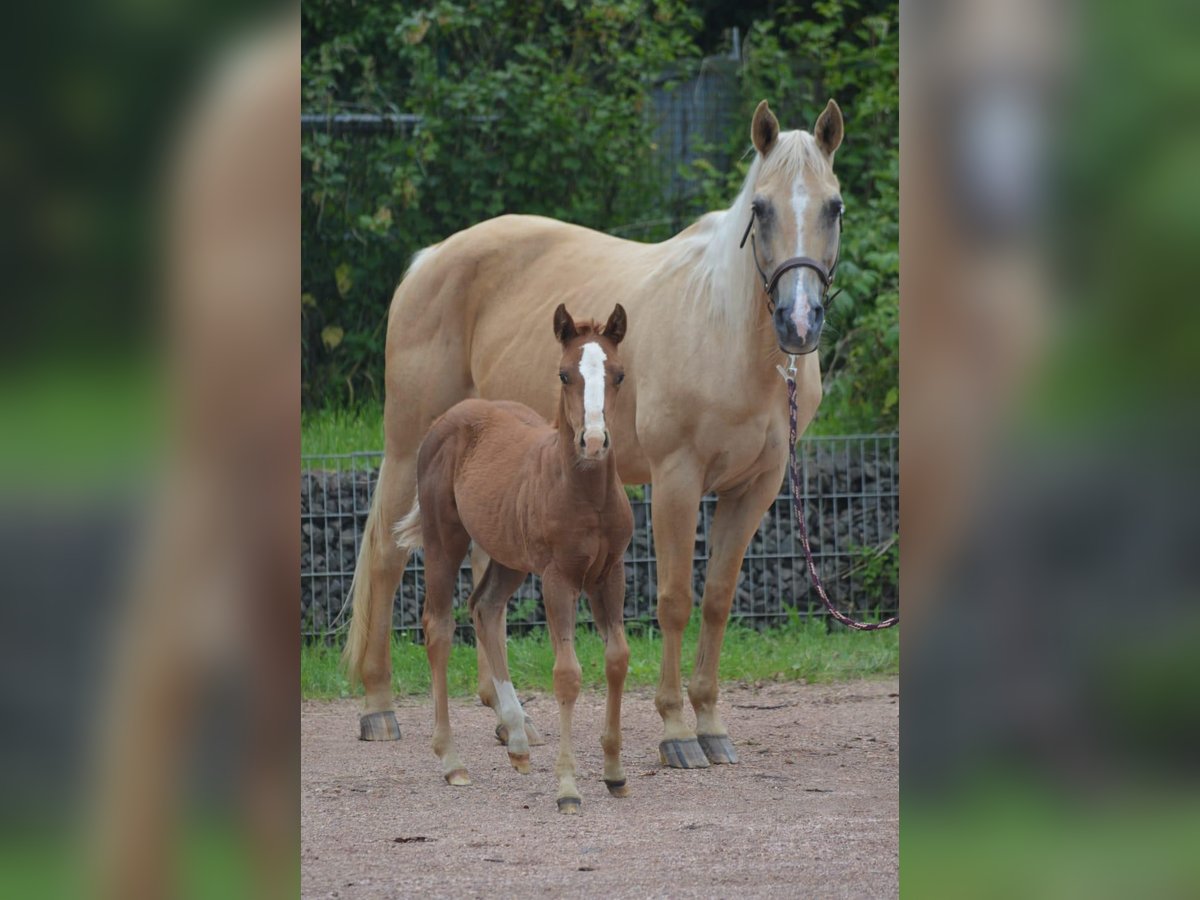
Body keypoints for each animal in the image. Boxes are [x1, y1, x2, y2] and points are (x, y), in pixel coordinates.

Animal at [393, 304, 638, 816]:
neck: (586, 493)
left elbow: (617, 659)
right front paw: (567, 787)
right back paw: (452, 760)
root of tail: (450, 417)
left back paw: (520, 740)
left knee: (485, 608)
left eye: (619, 374)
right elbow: (567, 674)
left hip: (510, 557)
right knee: (438, 626)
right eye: (564, 374)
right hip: (445, 541)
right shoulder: (559, 579)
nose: (593, 441)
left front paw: (615, 773)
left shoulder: (610, 574)